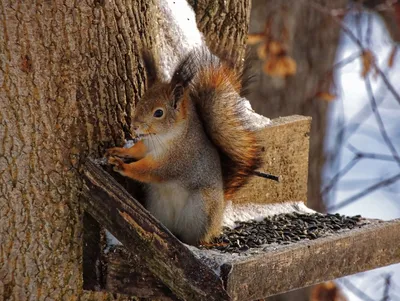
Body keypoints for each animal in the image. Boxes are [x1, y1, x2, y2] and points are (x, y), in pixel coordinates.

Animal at [106, 47, 262, 244]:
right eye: (141, 100)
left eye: (159, 113)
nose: (134, 126)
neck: (166, 137)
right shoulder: (147, 145)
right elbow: (137, 150)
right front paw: (119, 151)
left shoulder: (176, 160)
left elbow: (150, 170)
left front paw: (123, 166)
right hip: (158, 207)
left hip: (202, 209)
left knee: (198, 236)